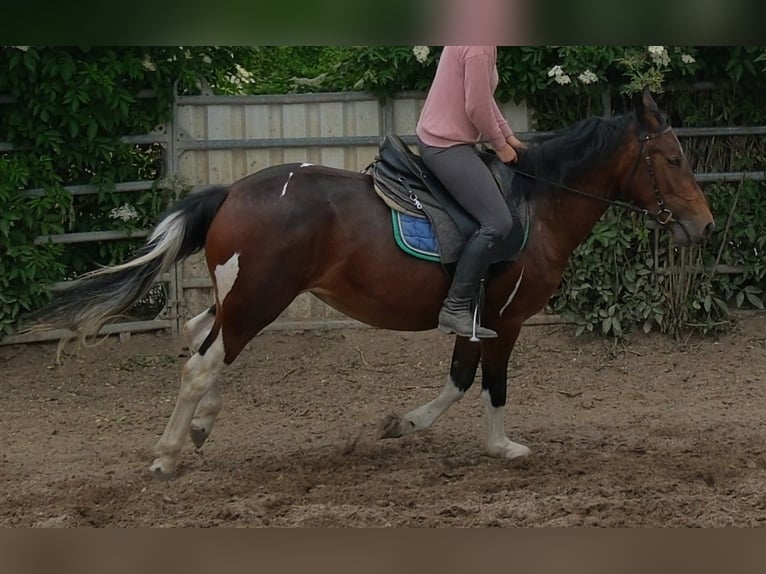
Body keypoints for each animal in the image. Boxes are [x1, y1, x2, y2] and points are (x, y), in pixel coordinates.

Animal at [26, 88, 714, 480]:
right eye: (673, 158)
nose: (704, 225)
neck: (534, 204)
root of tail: (233, 192)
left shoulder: (477, 319)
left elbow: (460, 377)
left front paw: (404, 425)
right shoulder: (504, 319)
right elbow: (486, 384)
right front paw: (499, 447)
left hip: (239, 300)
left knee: (201, 342)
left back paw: (200, 427)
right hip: (257, 301)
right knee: (203, 362)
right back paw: (168, 452)